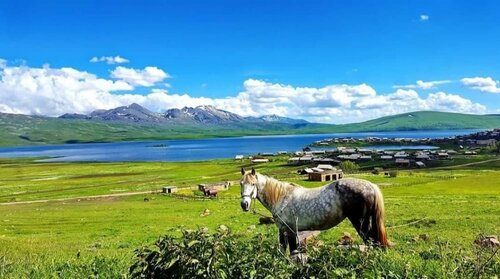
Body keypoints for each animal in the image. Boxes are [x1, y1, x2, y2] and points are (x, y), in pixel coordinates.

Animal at [240, 167, 388, 255]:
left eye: (253, 184)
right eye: (241, 183)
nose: (244, 204)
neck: (281, 196)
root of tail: (371, 186)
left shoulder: (286, 230)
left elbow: (287, 250)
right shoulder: (291, 231)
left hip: (361, 224)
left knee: (372, 242)